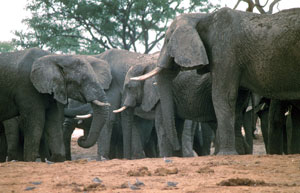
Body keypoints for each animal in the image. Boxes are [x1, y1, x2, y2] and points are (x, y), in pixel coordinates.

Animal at [132, 7, 300, 155]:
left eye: (167, 41)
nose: (177, 147)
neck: (203, 16)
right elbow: (236, 102)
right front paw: (238, 153)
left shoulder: (224, 50)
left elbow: (223, 96)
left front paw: (226, 154)